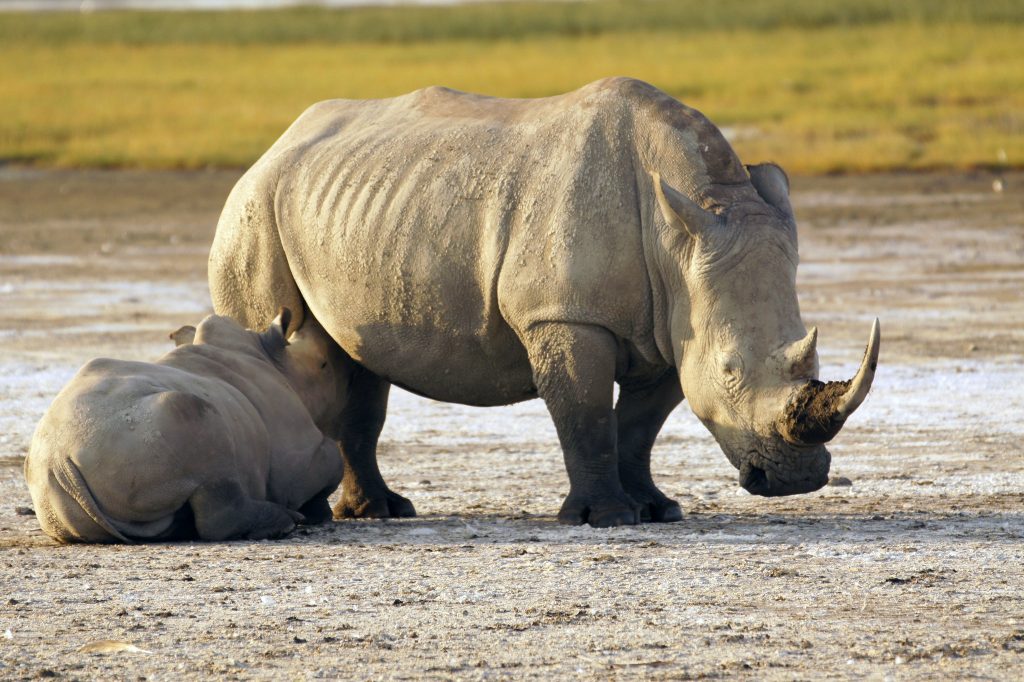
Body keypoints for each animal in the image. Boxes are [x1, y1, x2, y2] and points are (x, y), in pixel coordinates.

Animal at [23, 309, 344, 540]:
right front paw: (317, 513)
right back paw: (287, 523)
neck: (278, 363)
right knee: (198, 427)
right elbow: (332, 461)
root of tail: (59, 460)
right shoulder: (299, 461)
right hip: (153, 430)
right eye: (324, 366)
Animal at [209, 75, 880, 524]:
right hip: (252, 209)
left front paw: (658, 509)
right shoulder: (564, 315)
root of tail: (275, 145)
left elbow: (640, 425)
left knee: (356, 364)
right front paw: (606, 518)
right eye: (731, 370)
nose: (794, 480)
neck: (682, 233)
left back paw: (383, 511)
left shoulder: (676, 318)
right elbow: (585, 413)